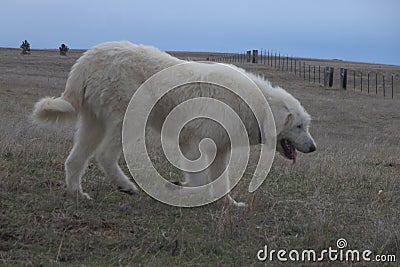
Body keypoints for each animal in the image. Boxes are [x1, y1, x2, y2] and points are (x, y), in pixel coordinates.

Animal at [32, 40, 316, 206]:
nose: (314, 148)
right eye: (299, 126)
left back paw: (77, 194)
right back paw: (125, 185)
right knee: (104, 155)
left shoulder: (220, 149)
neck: (251, 104)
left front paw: (228, 204)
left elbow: (221, 181)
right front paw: (191, 194)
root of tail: (87, 59)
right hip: (127, 119)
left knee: (74, 160)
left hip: (93, 124)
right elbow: (200, 177)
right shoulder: (194, 142)